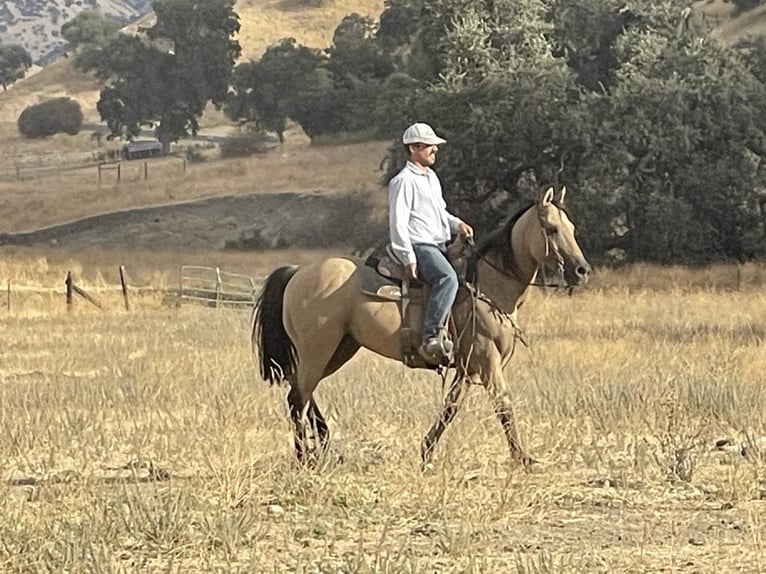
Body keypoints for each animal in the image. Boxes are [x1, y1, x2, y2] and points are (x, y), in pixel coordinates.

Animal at [252, 188, 592, 468]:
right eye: (552, 229)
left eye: (573, 229)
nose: (582, 270)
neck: (488, 286)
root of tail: (298, 272)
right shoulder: (487, 360)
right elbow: (504, 406)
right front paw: (524, 458)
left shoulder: (467, 368)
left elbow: (450, 408)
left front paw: (426, 451)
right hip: (318, 349)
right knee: (297, 398)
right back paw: (304, 459)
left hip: (339, 348)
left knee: (303, 392)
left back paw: (322, 444)